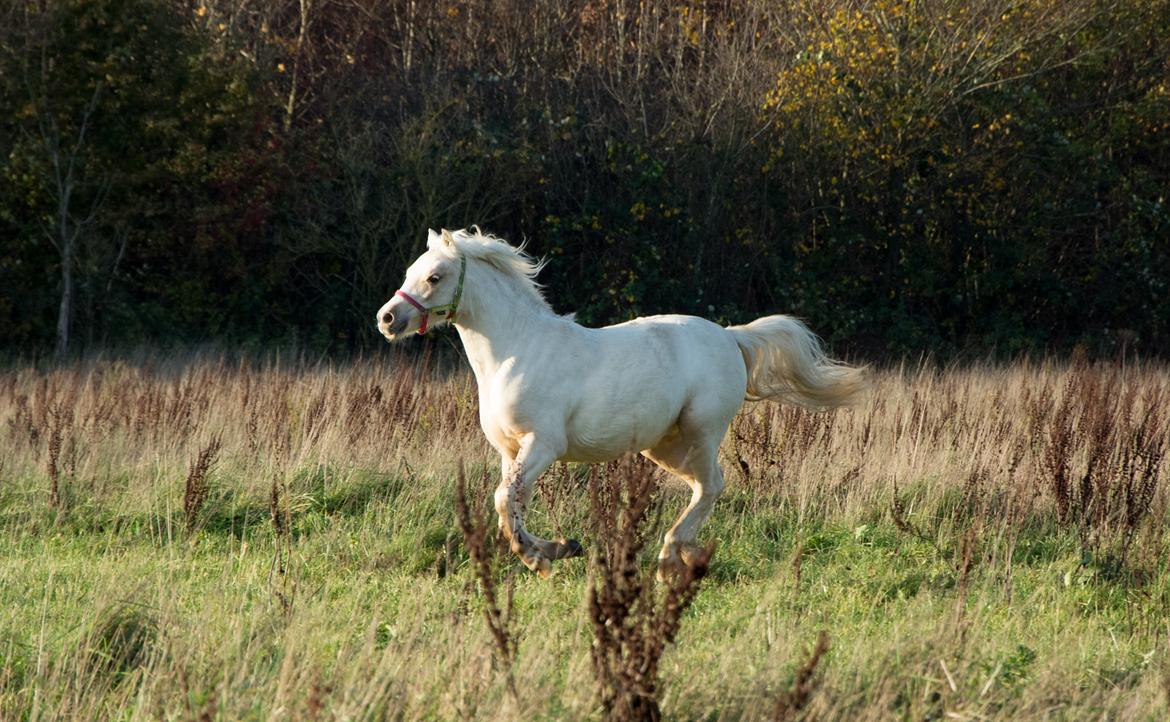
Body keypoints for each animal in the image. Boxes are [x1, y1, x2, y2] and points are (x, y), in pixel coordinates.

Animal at [376, 228, 866, 578]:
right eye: (410, 272)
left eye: (434, 277)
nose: (387, 318)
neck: (515, 351)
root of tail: (730, 336)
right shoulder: (509, 450)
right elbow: (511, 505)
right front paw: (558, 549)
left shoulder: (543, 445)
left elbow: (503, 500)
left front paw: (542, 557)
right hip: (663, 445)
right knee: (702, 487)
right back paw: (686, 554)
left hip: (702, 430)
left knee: (712, 485)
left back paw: (670, 557)